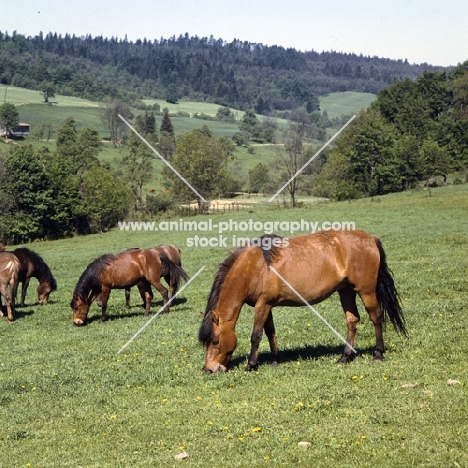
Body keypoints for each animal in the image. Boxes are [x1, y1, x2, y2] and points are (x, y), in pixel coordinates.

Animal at [199, 230, 408, 372]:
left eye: (216, 340)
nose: (210, 369)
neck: (254, 267)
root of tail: (371, 238)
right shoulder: (267, 305)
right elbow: (270, 332)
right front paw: (275, 360)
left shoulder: (262, 305)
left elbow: (256, 336)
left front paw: (251, 365)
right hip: (346, 291)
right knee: (352, 320)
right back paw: (344, 357)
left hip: (366, 291)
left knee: (376, 317)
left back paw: (378, 353)